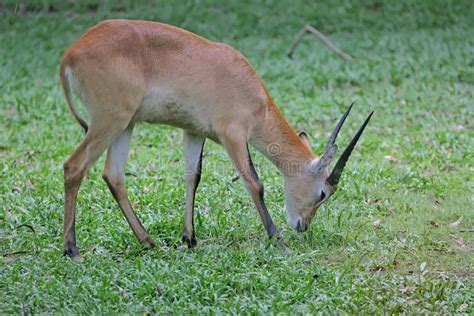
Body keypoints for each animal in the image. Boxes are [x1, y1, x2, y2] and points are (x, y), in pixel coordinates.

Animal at [59, 20, 372, 262]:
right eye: (323, 193)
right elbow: (254, 183)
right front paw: (279, 242)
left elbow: (192, 177)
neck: (249, 90)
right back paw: (72, 250)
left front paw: (189, 239)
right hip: (110, 120)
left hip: (126, 124)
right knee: (74, 166)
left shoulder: (194, 132)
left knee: (113, 175)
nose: (302, 226)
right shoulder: (233, 134)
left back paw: (148, 242)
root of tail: (71, 52)